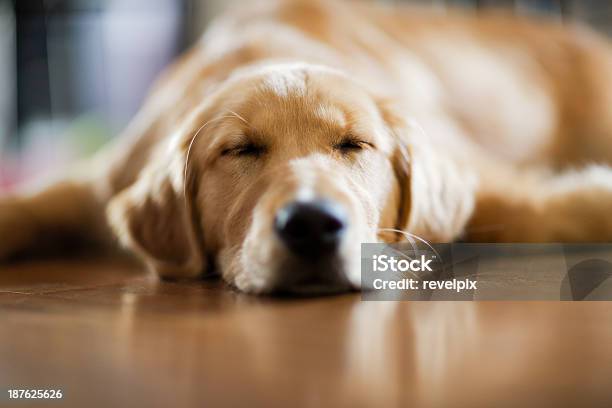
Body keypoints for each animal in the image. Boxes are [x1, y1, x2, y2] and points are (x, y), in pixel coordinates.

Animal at [1, 0, 612, 294]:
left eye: (354, 144)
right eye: (240, 150)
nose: (313, 225)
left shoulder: (484, 182)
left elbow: (549, 211)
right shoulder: (102, 180)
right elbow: (25, 207)